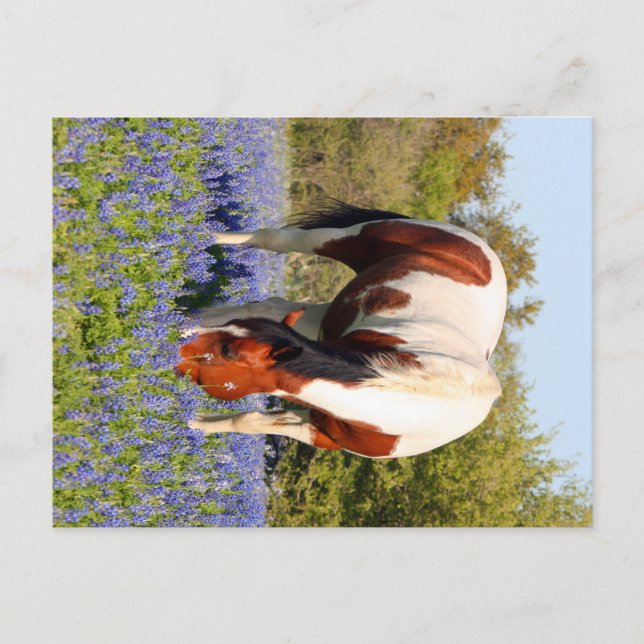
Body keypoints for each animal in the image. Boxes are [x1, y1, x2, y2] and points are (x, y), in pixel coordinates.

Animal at [177, 201, 507, 459]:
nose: (174, 350)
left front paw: (195, 422)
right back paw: (200, 239)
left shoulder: (320, 428)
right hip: (337, 239)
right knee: (271, 238)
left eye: (227, 352)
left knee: (269, 307)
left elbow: (248, 421)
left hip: (320, 317)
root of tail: (480, 248)